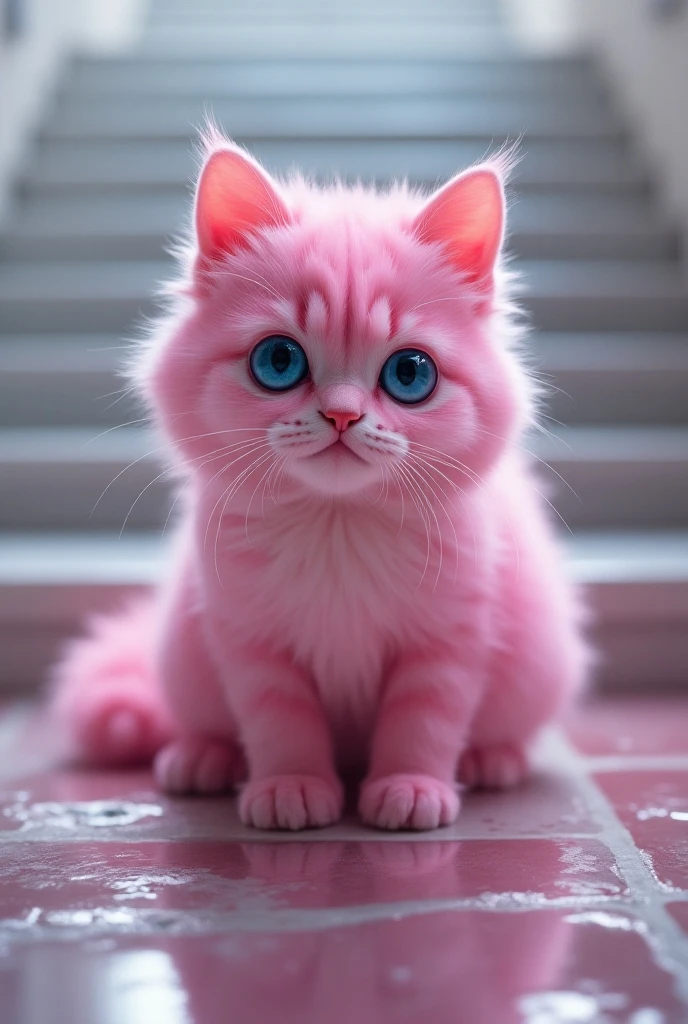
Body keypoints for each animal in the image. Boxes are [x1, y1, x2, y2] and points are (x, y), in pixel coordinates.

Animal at [48, 130, 589, 831]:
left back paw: (490, 760)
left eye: (410, 374)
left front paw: (411, 788)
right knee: (206, 727)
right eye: (278, 361)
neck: (338, 527)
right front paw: (292, 788)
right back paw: (203, 759)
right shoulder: (250, 643)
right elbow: (282, 723)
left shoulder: (449, 640)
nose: (342, 415)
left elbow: (422, 723)